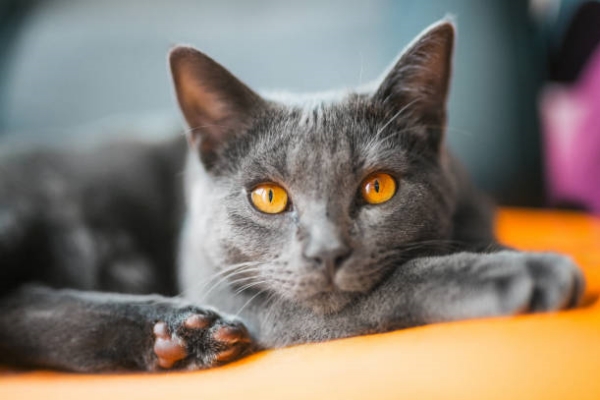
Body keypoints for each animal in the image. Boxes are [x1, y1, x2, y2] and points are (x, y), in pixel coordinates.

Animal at [0, 21, 580, 372]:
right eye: (268, 197)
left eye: (379, 187)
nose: (326, 251)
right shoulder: (239, 294)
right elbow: (401, 282)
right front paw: (524, 268)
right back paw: (183, 332)